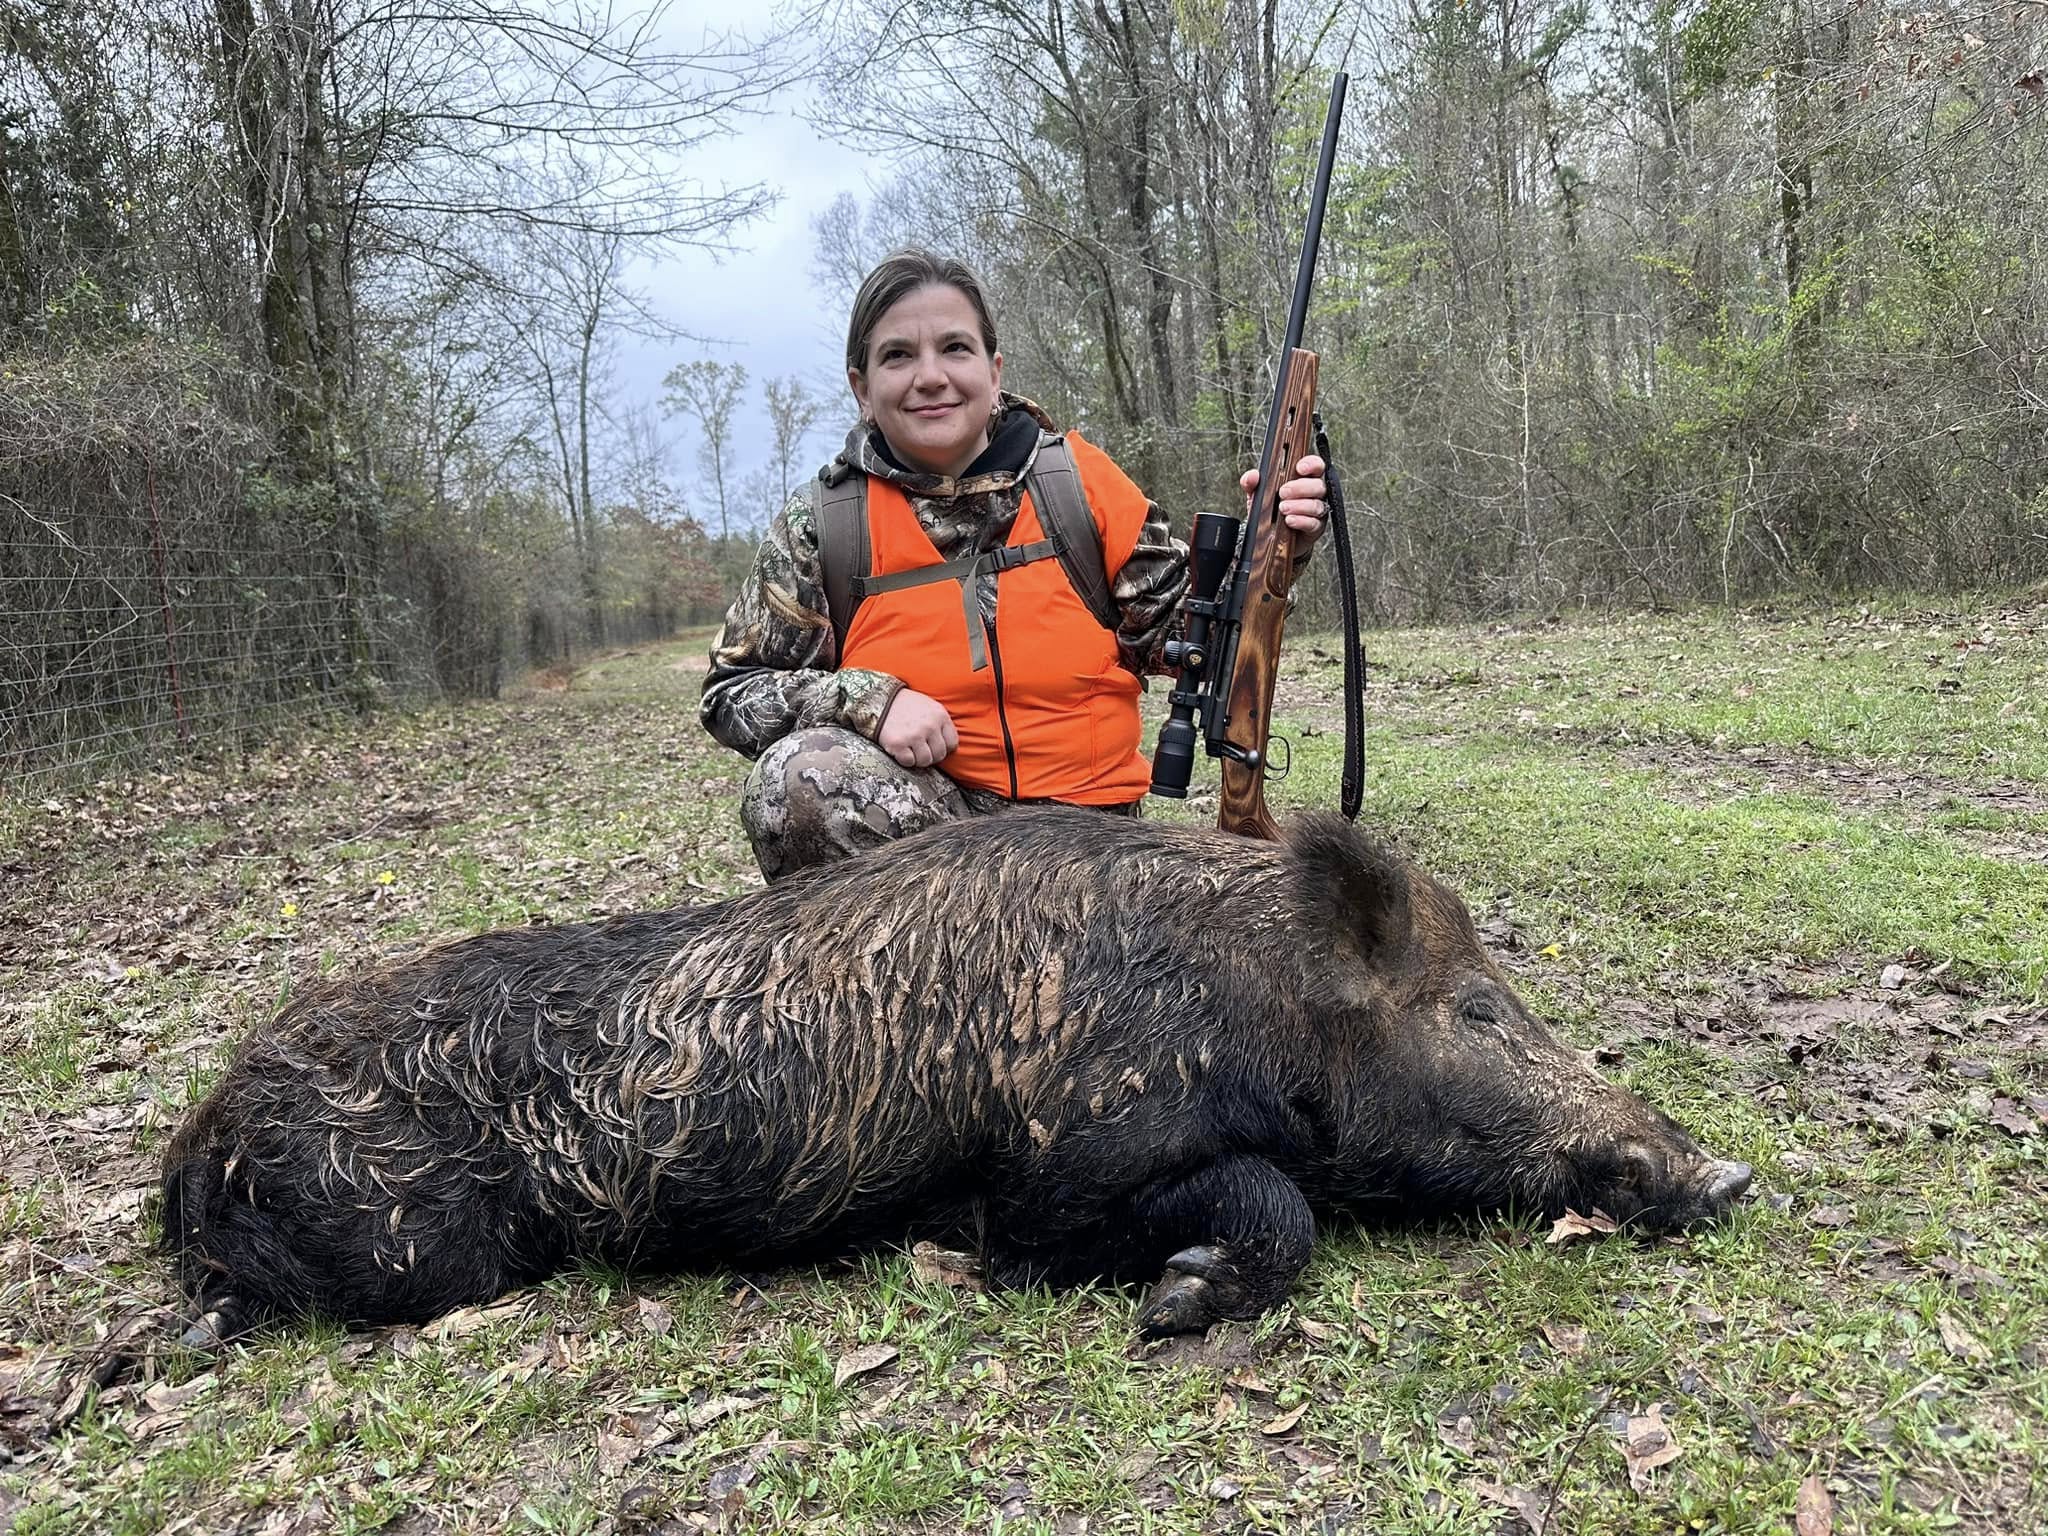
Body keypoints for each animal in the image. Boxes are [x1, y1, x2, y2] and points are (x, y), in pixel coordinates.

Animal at [161, 808, 1751, 1340]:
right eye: (1479, 1008)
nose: (1727, 1169)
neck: (1256, 1005)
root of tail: (202, 1130)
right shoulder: (1051, 1176)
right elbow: (1273, 1212)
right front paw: (1177, 1304)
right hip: (406, 1250)